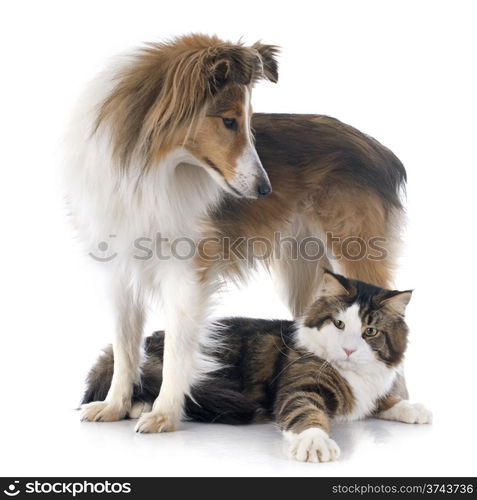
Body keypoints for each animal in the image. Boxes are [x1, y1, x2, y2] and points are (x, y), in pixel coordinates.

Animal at [63, 34, 406, 434]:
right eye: (228, 121)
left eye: (247, 121)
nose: (265, 190)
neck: (148, 167)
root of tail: (380, 150)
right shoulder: (118, 271)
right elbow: (124, 345)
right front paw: (116, 404)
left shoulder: (186, 270)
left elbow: (178, 346)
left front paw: (165, 413)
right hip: (304, 268)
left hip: (355, 252)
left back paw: (396, 404)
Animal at [83, 272, 430, 462]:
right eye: (339, 324)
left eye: (370, 332)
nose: (348, 349)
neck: (355, 376)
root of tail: (153, 336)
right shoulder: (300, 390)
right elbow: (308, 416)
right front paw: (315, 442)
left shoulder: (372, 390)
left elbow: (387, 400)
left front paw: (414, 408)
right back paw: (142, 408)